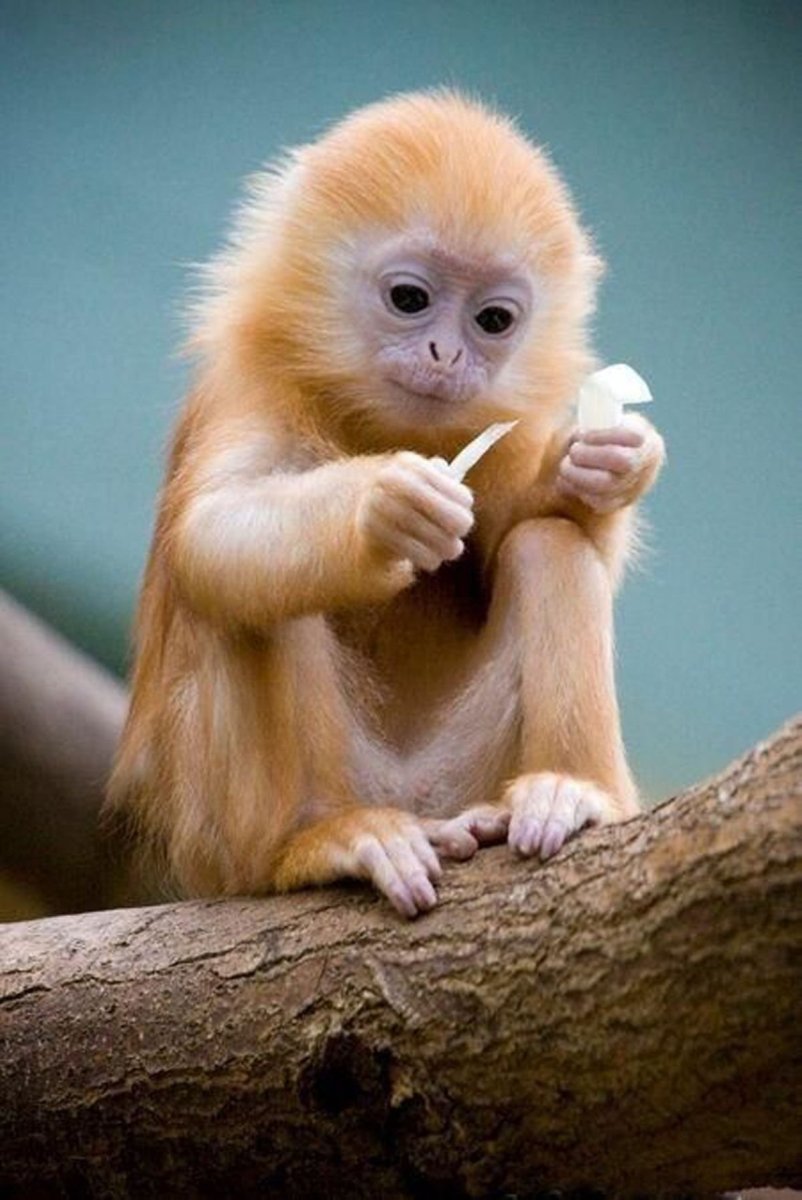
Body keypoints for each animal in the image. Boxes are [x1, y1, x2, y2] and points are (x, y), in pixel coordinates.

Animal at [107, 91, 665, 918]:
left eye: (492, 321)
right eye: (410, 299)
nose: (446, 354)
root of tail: (415, 799)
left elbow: (529, 528)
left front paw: (603, 464)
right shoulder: (249, 391)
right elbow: (211, 535)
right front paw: (383, 509)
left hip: (465, 773)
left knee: (547, 544)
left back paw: (571, 791)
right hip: (224, 839)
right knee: (255, 594)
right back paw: (321, 840)